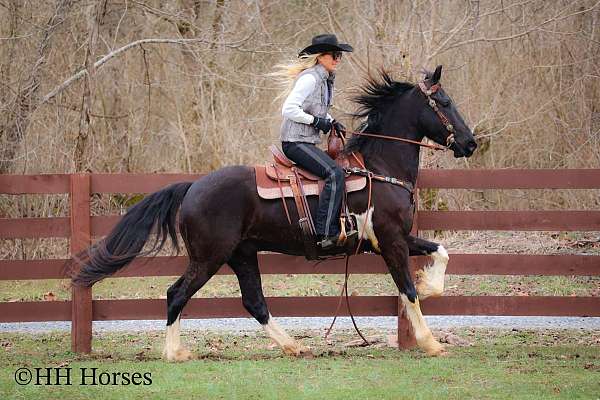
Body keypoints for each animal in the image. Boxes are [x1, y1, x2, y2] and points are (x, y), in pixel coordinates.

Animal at [70, 65, 476, 360]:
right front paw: (430, 341)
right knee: (176, 293)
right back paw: (176, 353)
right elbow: (407, 290)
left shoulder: (397, 237)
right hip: (209, 256)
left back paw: (294, 345)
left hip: (242, 254)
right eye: (444, 101)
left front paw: (430, 284)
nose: (470, 143)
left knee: (254, 301)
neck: (379, 168)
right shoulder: (391, 241)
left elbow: (441, 253)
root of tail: (193, 187)